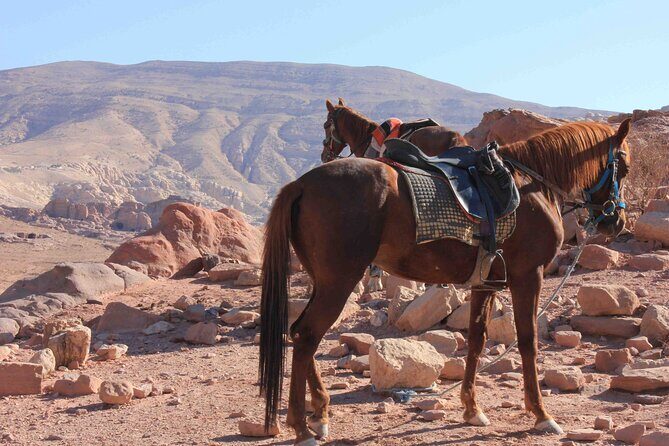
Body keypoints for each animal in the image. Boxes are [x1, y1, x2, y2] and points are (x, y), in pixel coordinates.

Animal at [260, 119, 632, 445]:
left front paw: (472, 409)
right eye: (625, 167)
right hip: (339, 281)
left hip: (323, 281)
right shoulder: (529, 276)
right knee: (307, 335)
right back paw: (302, 427)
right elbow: (528, 342)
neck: (531, 186)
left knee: (299, 332)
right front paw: (541, 414)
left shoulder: (486, 282)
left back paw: (320, 414)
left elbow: (478, 339)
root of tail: (301, 184)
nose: (615, 221)